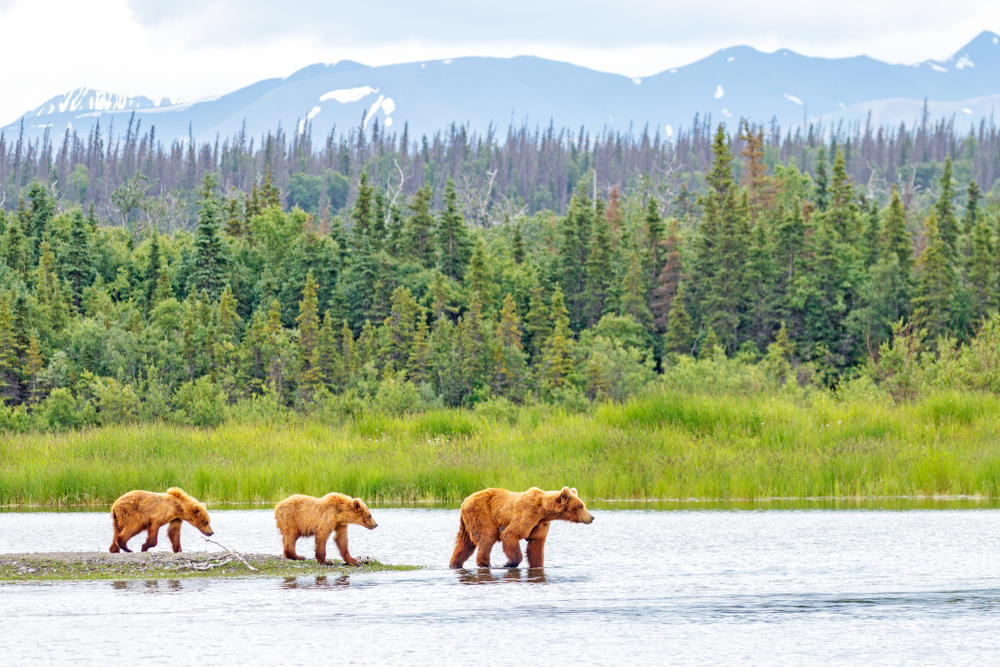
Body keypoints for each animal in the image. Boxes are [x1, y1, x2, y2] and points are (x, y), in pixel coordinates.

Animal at [449, 486, 594, 569]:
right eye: (580, 505)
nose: (592, 517)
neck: (543, 511)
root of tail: (465, 501)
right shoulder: (527, 514)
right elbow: (510, 534)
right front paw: (509, 563)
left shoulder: (540, 524)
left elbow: (536, 546)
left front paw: (537, 565)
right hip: (481, 514)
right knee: (487, 537)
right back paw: (485, 564)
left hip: (466, 523)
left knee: (464, 544)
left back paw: (455, 564)